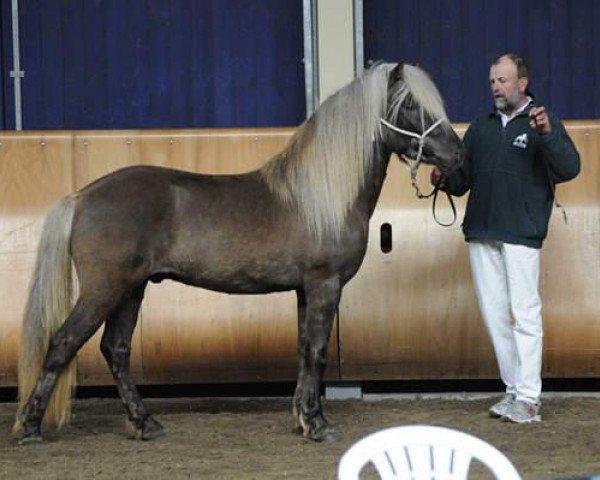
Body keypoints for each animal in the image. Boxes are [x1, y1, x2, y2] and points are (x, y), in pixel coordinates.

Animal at [12, 62, 464, 444]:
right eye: (410, 106)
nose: (457, 156)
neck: (321, 197)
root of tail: (82, 196)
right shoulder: (325, 285)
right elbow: (318, 352)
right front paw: (318, 426)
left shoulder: (305, 291)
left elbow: (304, 350)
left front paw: (303, 418)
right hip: (105, 289)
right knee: (63, 342)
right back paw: (30, 428)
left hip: (131, 290)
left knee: (116, 350)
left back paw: (146, 424)